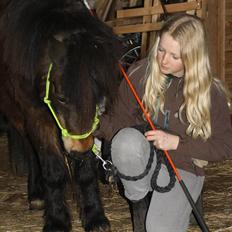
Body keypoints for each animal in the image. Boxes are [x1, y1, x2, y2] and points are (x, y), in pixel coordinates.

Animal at [0, 0, 122, 231]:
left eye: (98, 97)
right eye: (62, 98)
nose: (78, 148)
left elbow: (85, 172)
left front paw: (95, 216)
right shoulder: (37, 116)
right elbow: (54, 171)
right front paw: (57, 220)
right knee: (31, 151)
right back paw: (36, 194)